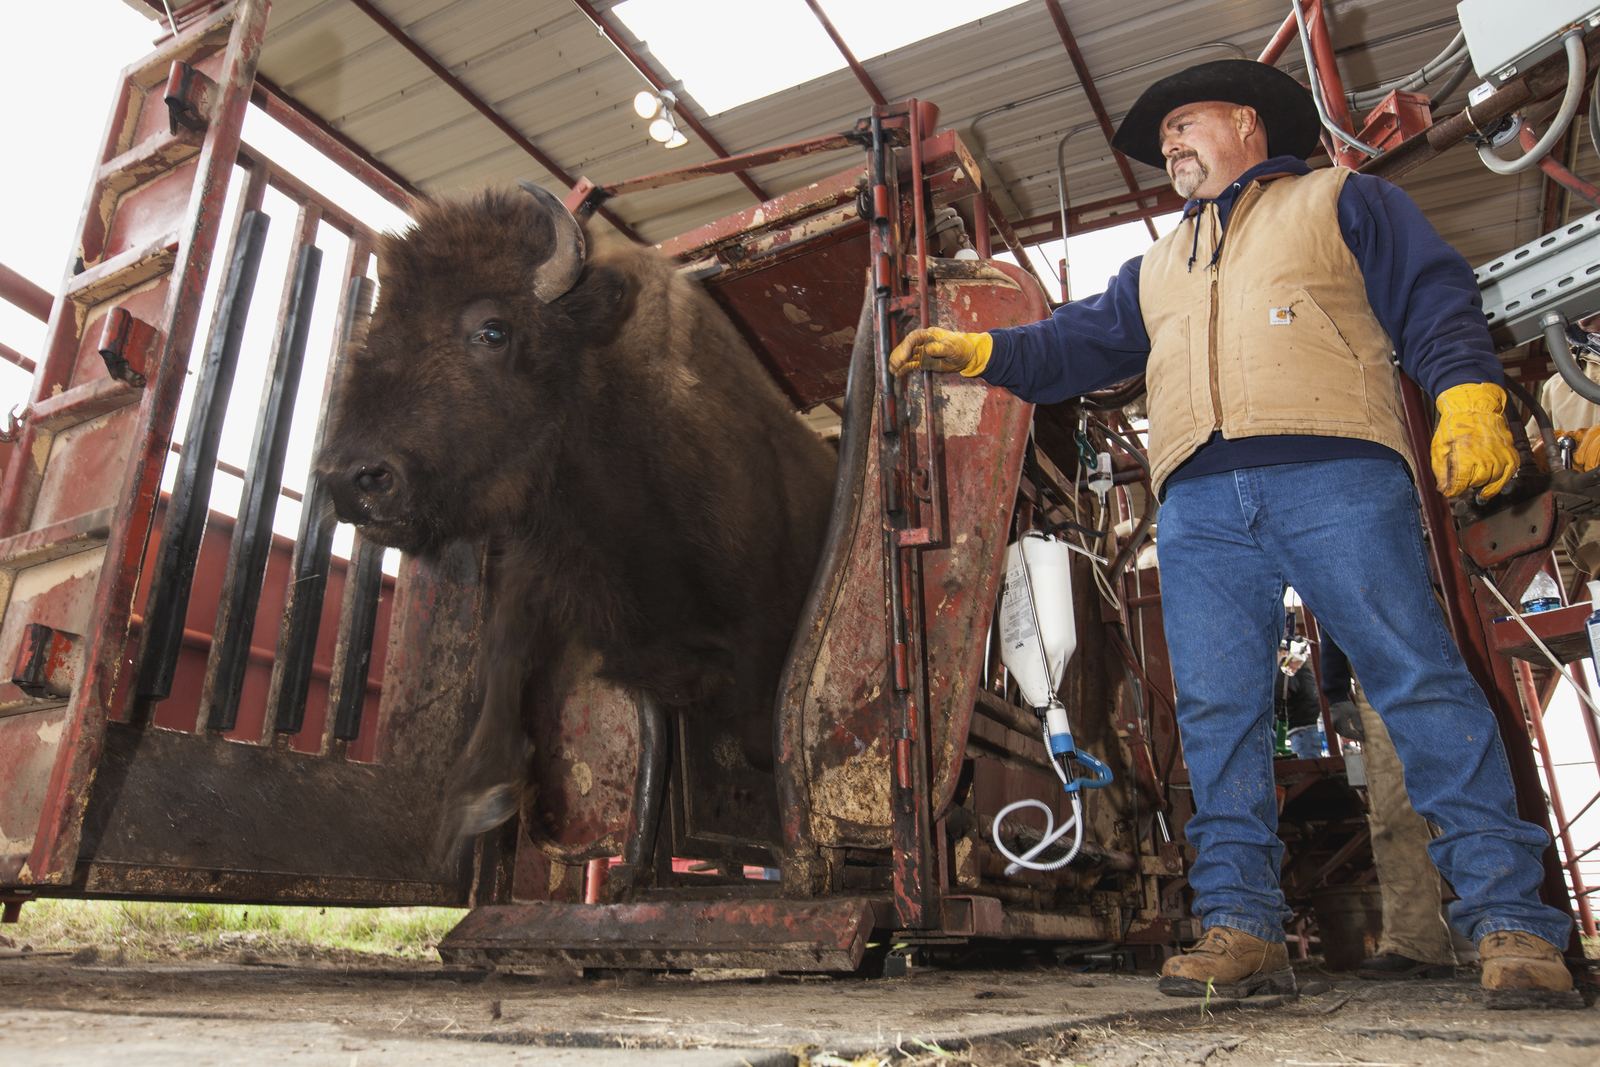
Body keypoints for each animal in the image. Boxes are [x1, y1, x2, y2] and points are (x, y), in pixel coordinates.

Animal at [316, 183, 837, 845]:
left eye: (493, 331)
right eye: (376, 326)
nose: (351, 481)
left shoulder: (764, 625)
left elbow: (761, 736)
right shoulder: (543, 570)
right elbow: (504, 650)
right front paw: (481, 791)